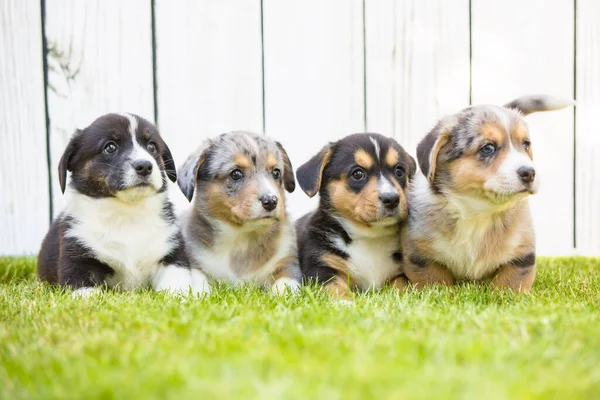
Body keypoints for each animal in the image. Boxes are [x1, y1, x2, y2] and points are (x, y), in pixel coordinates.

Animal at [37, 112, 210, 296]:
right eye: (110, 147)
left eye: (152, 147)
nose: (145, 166)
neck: (127, 213)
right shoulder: (78, 260)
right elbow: (87, 292)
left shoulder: (172, 256)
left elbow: (175, 287)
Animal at [177, 131, 300, 294]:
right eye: (236, 174)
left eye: (276, 172)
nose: (271, 201)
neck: (242, 237)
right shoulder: (194, 262)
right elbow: (198, 284)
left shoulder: (288, 263)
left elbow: (285, 285)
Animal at [296, 133, 418, 298]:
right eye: (358, 173)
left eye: (399, 171)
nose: (392, 199)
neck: (370, 236)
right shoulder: (320, 269)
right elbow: (336, 288)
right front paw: (346, 301)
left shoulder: (399, 273)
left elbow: (402, 287)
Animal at [406, 95, 576, 292]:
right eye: (488, 148)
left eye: (526, 144)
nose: (530, 173)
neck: (478, 212)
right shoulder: (421, 256)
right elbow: (435, 283)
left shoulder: (521, 256)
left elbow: (509, 284)